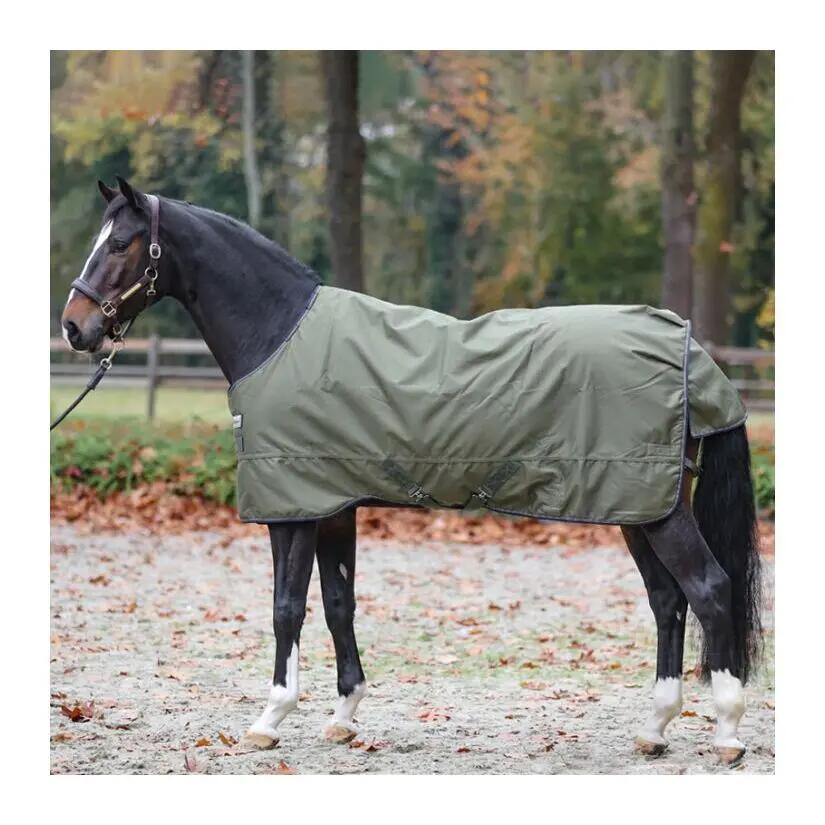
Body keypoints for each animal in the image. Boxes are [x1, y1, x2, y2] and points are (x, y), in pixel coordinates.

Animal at [58, 178, 762, 765]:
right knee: (668, 600)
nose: (73, 327)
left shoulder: (293, 509)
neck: (280, 335)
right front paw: (344, 715)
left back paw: (728, 731)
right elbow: (338, 603)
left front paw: (270, 718)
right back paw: (655, 729)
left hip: (656, 508)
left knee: (709, 589)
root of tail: (687, 347)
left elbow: (287, 608)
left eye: (120, 243)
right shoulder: (333, 504)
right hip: (638, 503)